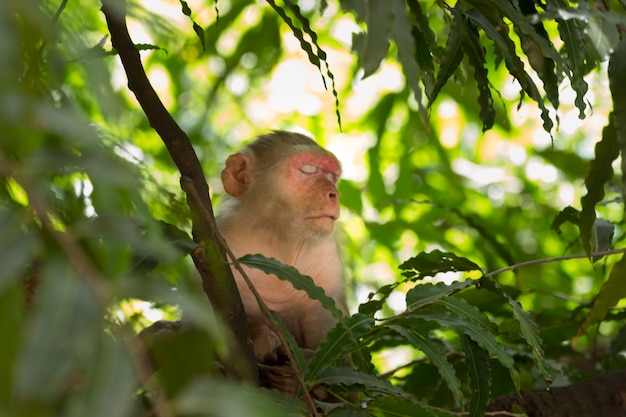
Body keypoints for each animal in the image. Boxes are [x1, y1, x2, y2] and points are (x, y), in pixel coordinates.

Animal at [216, 129, 346, 358]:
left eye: (332, 176)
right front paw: (262, 338)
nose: (335, 194)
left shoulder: (327, 259)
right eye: (308, 170)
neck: (279, 239)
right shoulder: (222, 241)